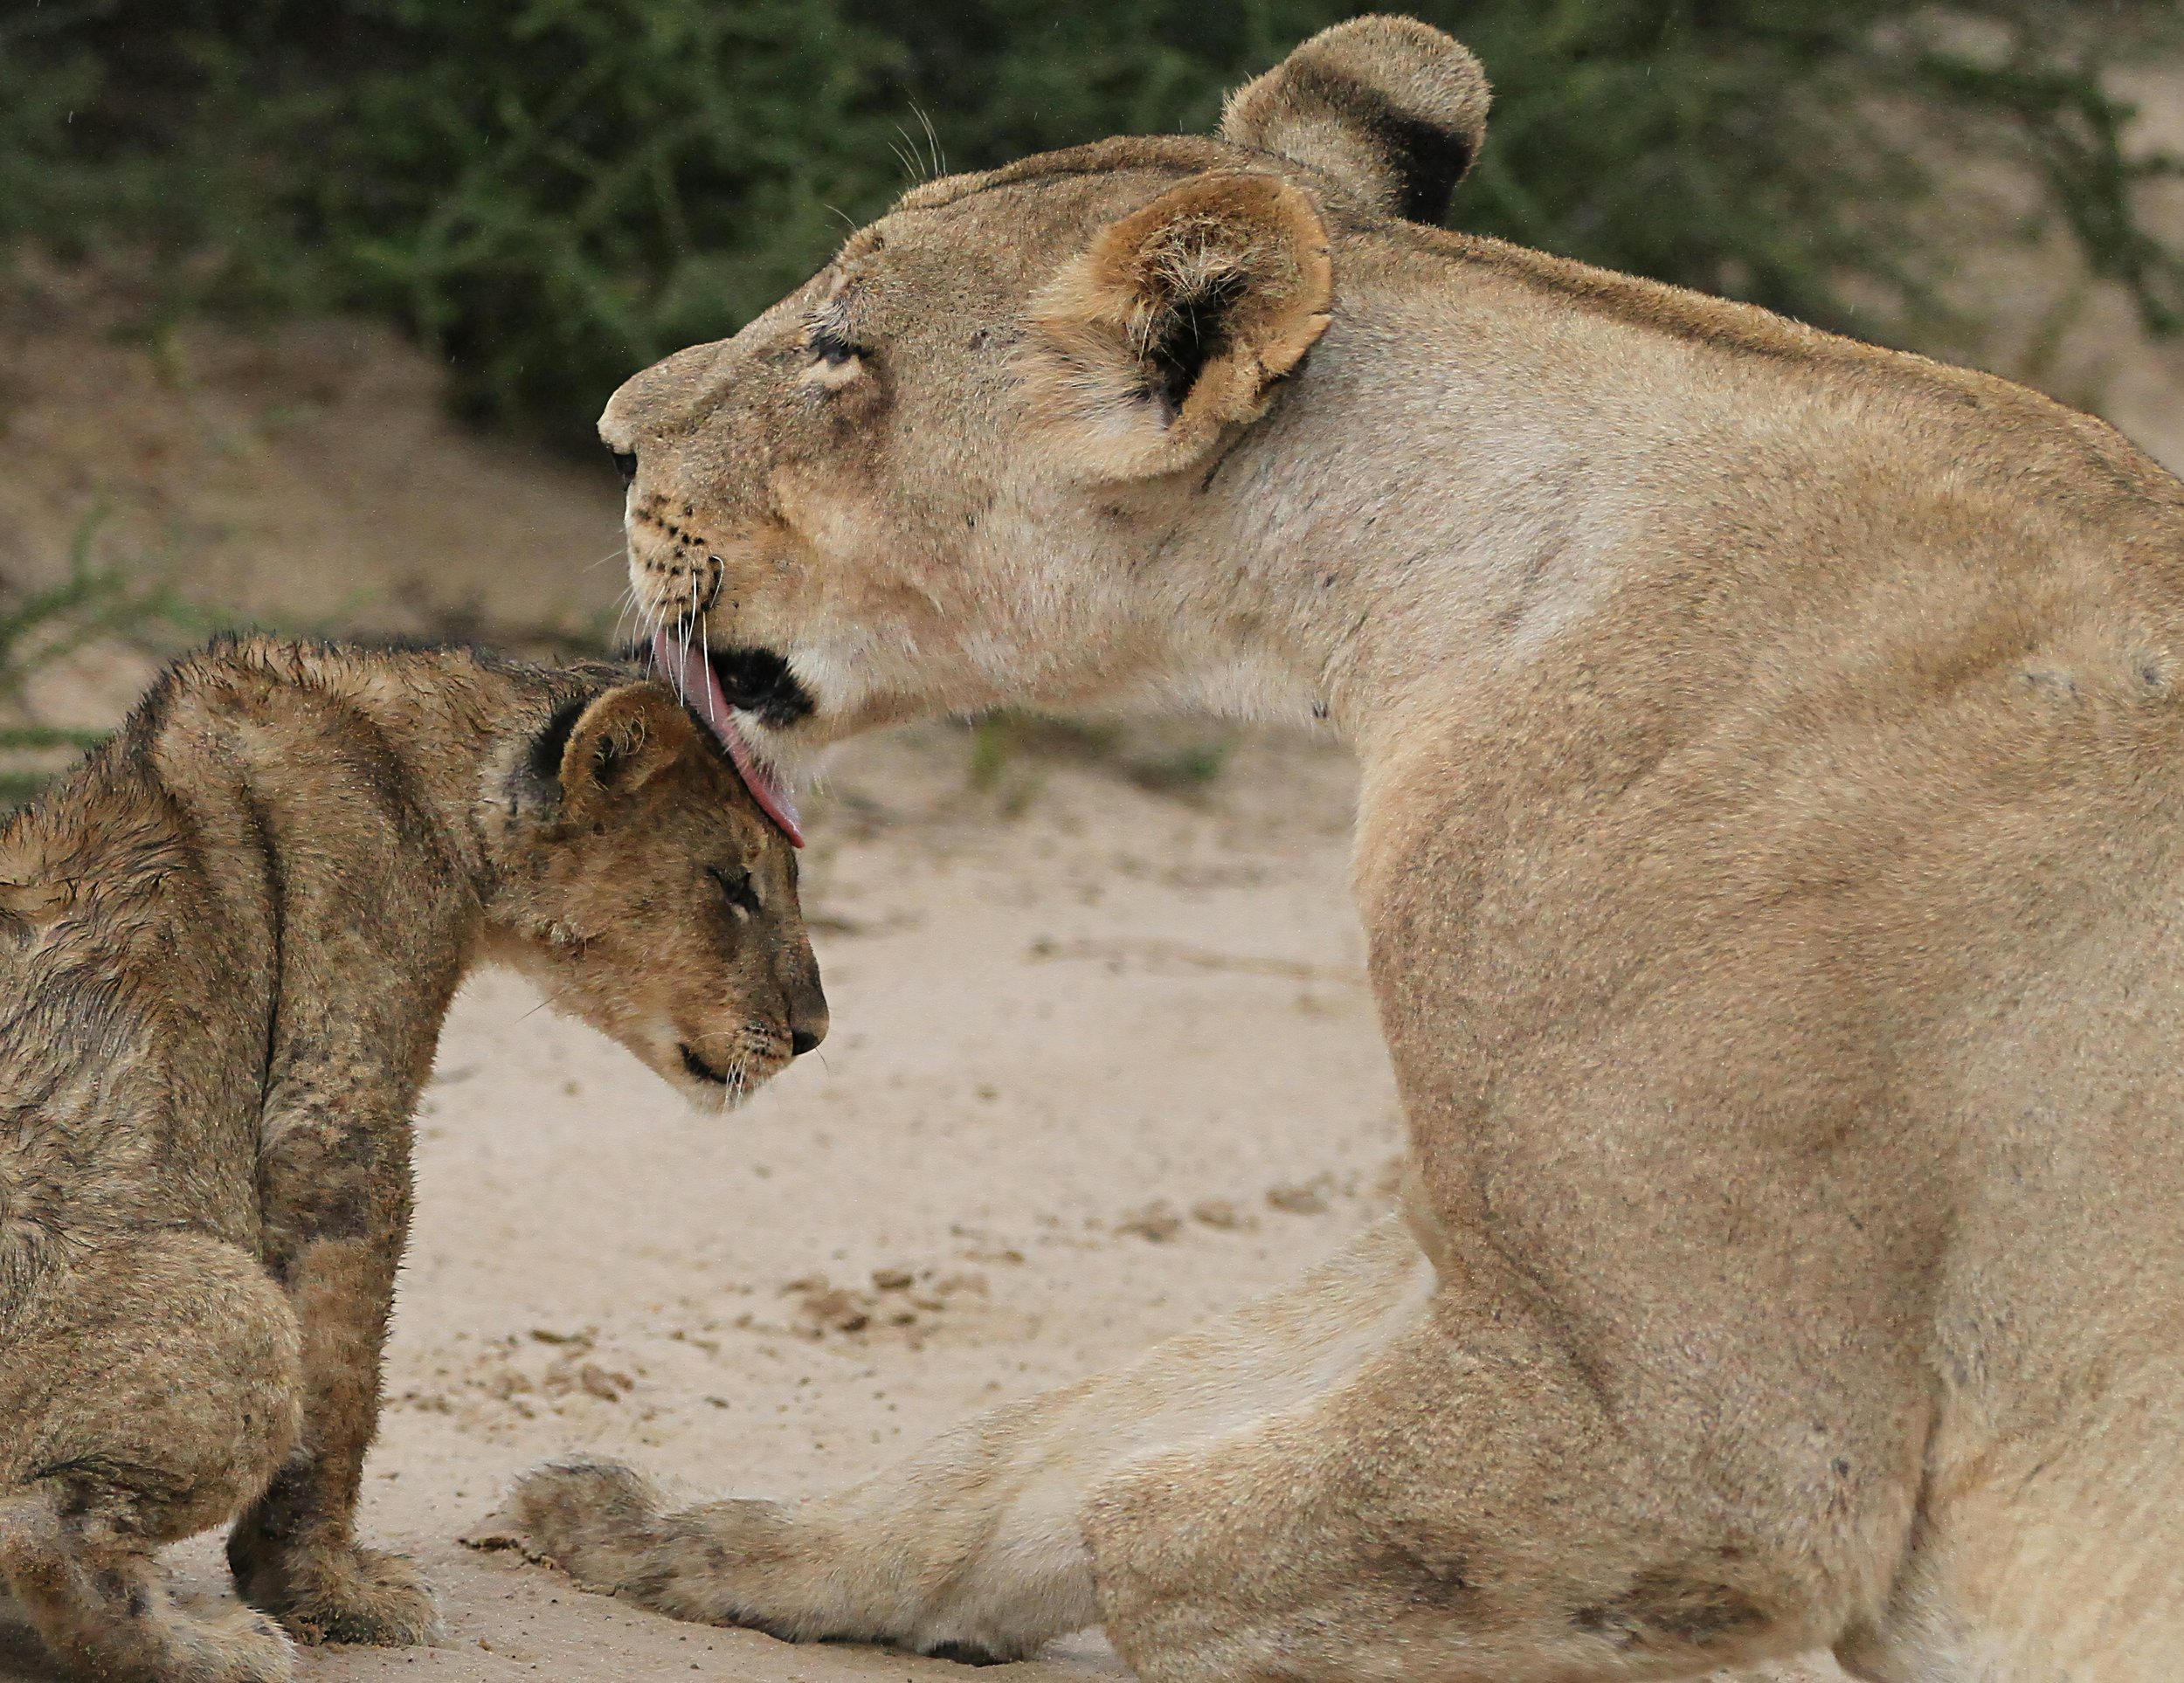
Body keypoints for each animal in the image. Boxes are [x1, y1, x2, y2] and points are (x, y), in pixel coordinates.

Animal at [0, 634, 824, 1683]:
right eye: (733, 883)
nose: (813, 1032)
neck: (431, 762)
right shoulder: (335, 1113)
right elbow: (342, 1384)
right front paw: (328, 1594)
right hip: (231, 1300)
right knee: (35, 1527)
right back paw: (214, 1647)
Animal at [511, 14, 2184, 1680]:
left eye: (841, 348)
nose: (611, 425)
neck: (1436, 594)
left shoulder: (1720, 1451)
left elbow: (1160, 1537)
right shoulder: (1478, 1246)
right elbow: (1076, 1440)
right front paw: (678, 1536)